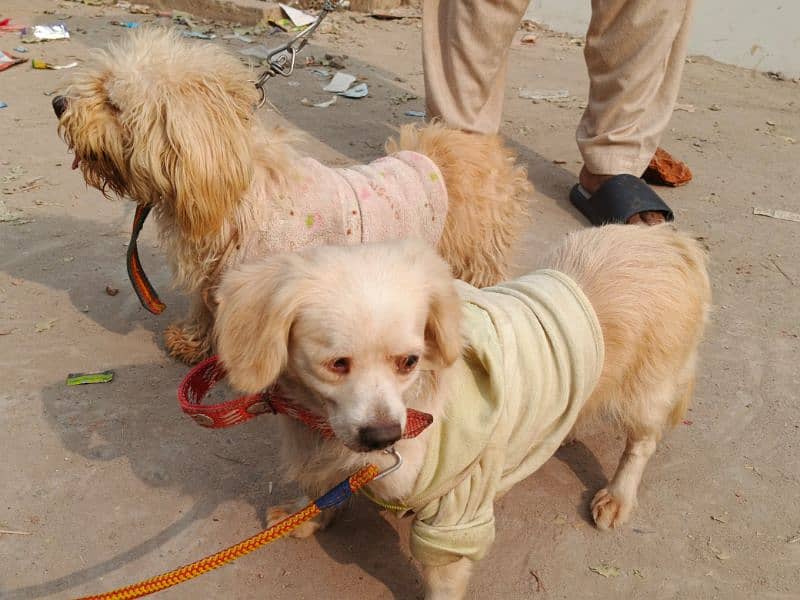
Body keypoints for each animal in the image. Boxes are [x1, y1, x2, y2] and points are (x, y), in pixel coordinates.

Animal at [54, 28, 532, 364]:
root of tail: (477, 146)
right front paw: (193, 341)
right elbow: (205, 307)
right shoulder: (216, 273)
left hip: (475, 254)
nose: (58, 102)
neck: (234, 187)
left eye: (113, 102)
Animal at [214, 226, 712, 600]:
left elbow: (444, 579)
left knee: (642, 443)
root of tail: (667, 238)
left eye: (409, 361)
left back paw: (618, 495)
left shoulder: (458, 511)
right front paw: (309, 515)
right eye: (337, 364)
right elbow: (323, 490)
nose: (384, 437)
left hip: (647, 395)